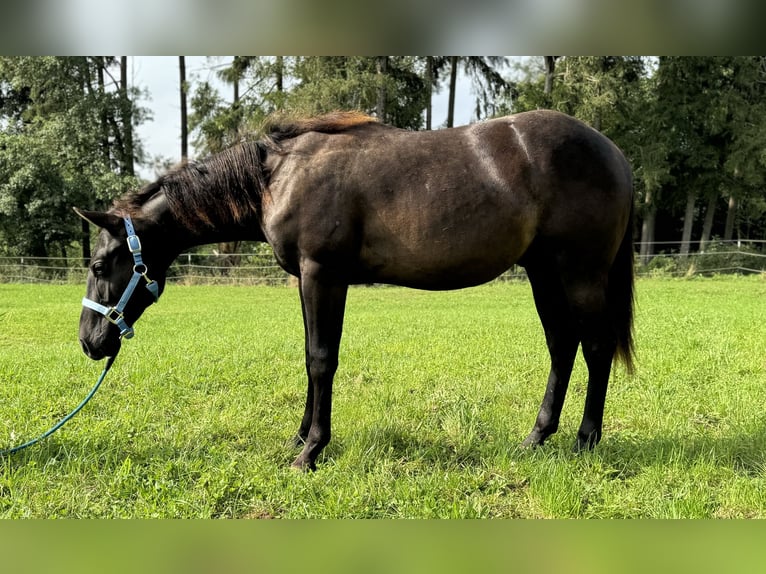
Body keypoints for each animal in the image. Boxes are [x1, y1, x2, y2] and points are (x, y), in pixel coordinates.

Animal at [75, 109, 636, 472]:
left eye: (101, 263)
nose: (89, 341)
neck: (278, 177)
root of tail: (613, 151)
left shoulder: (324, 273)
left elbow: (323, 359)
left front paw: (310, 452)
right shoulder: (309, 279)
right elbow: (309, 356)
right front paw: (300, 437)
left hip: (580, 273)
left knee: (595, 347)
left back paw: (585, 442)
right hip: (544, 272)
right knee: (562, 346)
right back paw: (537, 438)